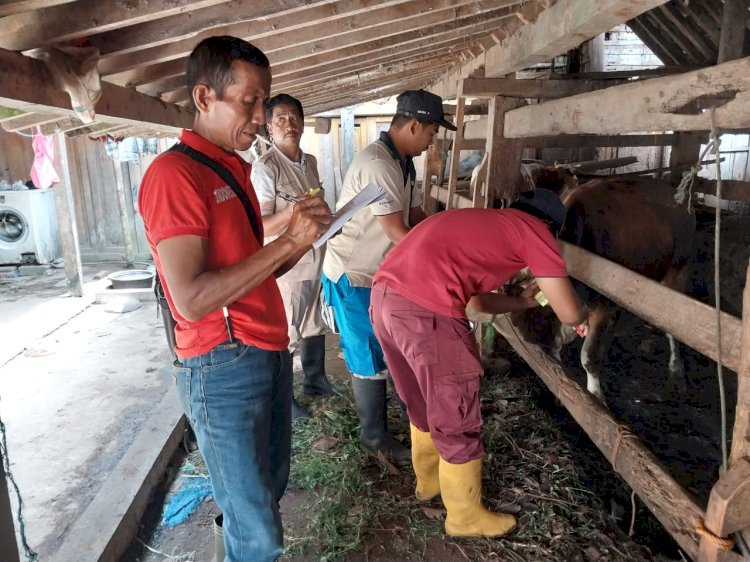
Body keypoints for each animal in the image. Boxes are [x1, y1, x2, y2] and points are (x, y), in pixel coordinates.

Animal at [516, 175, 696, 402]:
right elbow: (560, 341)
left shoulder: (600, 304)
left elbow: (589, 356)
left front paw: (595, 396)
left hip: (678, 271)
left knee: (674, 330)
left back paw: (676, 372)